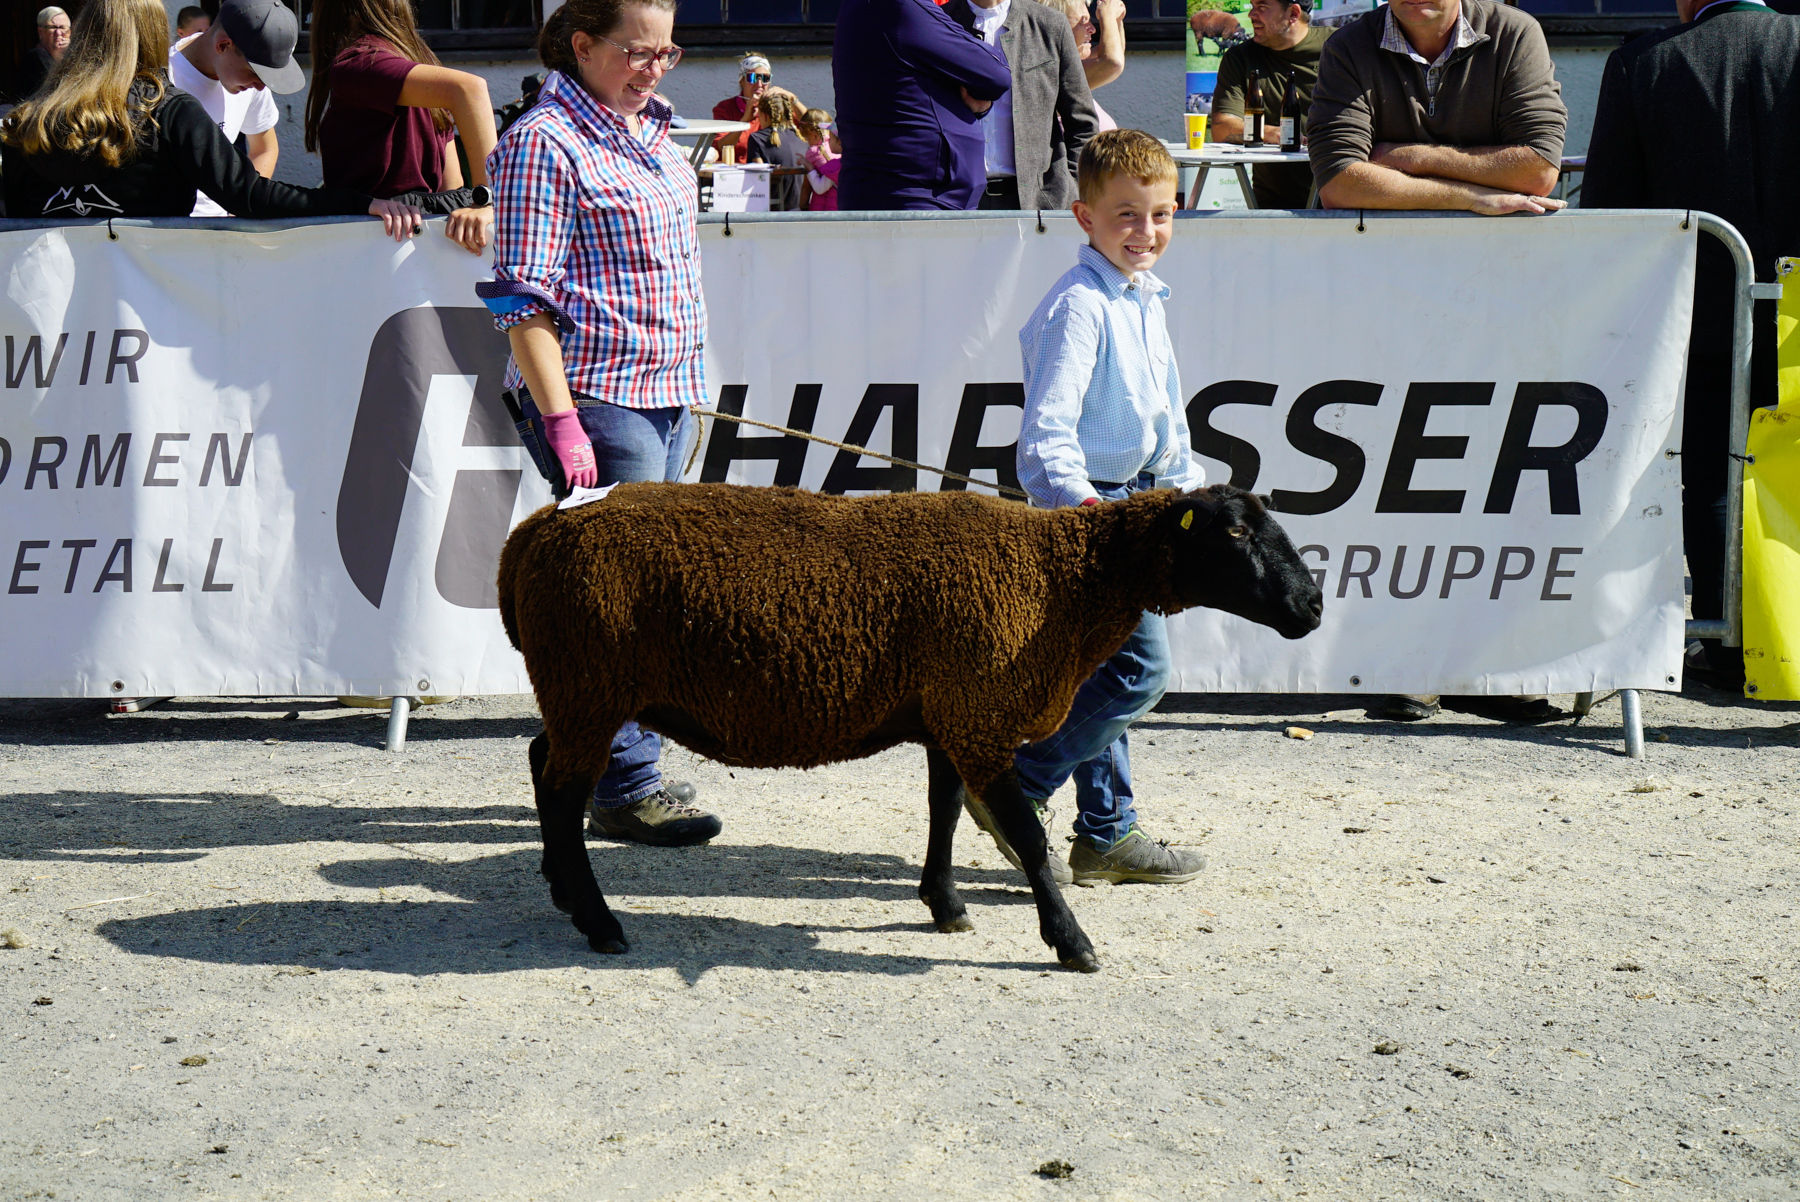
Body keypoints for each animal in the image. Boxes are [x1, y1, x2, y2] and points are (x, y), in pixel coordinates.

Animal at [500, 482, 1332, 971]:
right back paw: (599, 921)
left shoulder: (950, 715)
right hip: (589, 684)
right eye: (1233, 534)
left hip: (577, 693)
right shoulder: (978, 714)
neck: (1063, 578)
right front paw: (1071, 942)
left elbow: (944, 814)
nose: (1314, 604)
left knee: (543, 765)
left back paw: (565, 891)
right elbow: (1027, 838)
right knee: (563, 789)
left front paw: (946, 905)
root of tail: (538, 529)